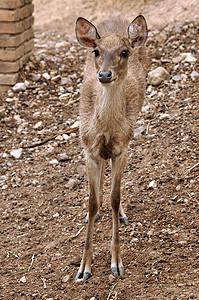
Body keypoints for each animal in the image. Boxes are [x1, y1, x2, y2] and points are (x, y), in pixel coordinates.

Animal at [74, 14, 148, 282]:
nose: (105, 75)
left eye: (124, 52)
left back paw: (122, 213)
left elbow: (115, 198)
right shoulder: (88, 149)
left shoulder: (122, 148)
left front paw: (116, 263)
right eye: (97, 51)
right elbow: (92, 200)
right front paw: (83, 268)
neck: (105, 129)